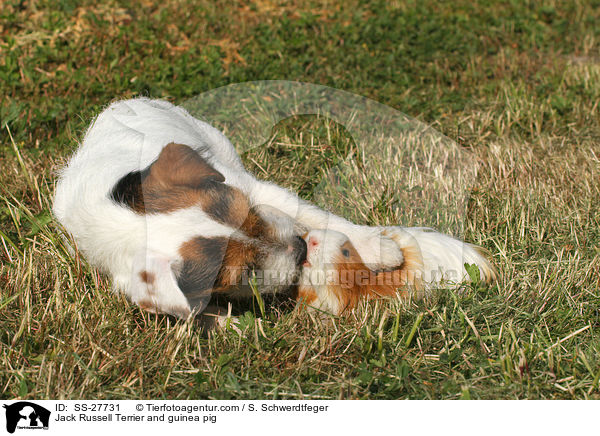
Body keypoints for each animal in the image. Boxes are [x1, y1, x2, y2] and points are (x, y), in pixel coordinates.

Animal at [52, 97, 492, 318]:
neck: (115, 210)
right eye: (245, 271)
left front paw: (377, 248)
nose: (299, 247)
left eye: (249, 211)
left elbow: (313, 212)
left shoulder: (252, 188)